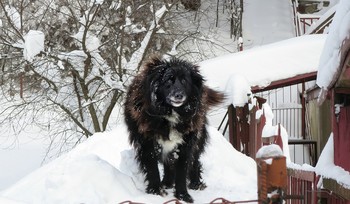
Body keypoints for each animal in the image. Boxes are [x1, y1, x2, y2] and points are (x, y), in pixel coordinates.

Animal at [124, 57, 224, 202]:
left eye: (184, 81)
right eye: (168, 81)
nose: (179, 95)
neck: (169, 113)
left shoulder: (186, 143)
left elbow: (182, 170)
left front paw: (183, 195)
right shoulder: (147, 143)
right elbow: (152, 168)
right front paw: (156, 192)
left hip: (198, 138)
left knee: (195, 161)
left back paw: (196, 183)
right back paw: (167, 183)